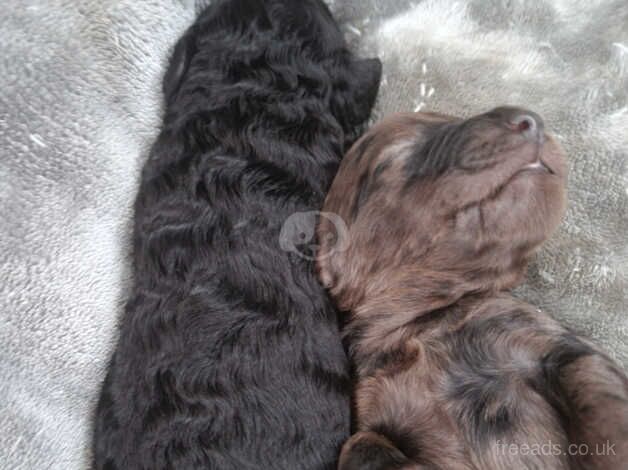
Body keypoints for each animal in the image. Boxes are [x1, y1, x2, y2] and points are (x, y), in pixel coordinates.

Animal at [316, 108, 628, 468]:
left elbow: (602, 400)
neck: (423, 323)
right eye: (399, 153)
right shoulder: (371, 412)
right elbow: (362, 444)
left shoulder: (548, 343)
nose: (530, 120)